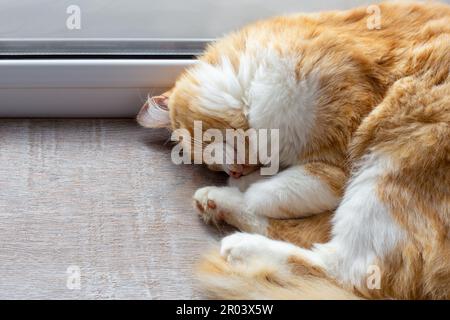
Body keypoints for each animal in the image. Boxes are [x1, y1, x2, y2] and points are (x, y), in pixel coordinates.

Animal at [138, 1, 450, 298]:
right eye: (210, 166)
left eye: (205, 148)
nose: (234, 172)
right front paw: (243, 182)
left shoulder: (337, 165)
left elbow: (270, 194)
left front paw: (250, 187)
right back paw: (215, 203)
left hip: (388, 169)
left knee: (347, 270)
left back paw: (240, 246)